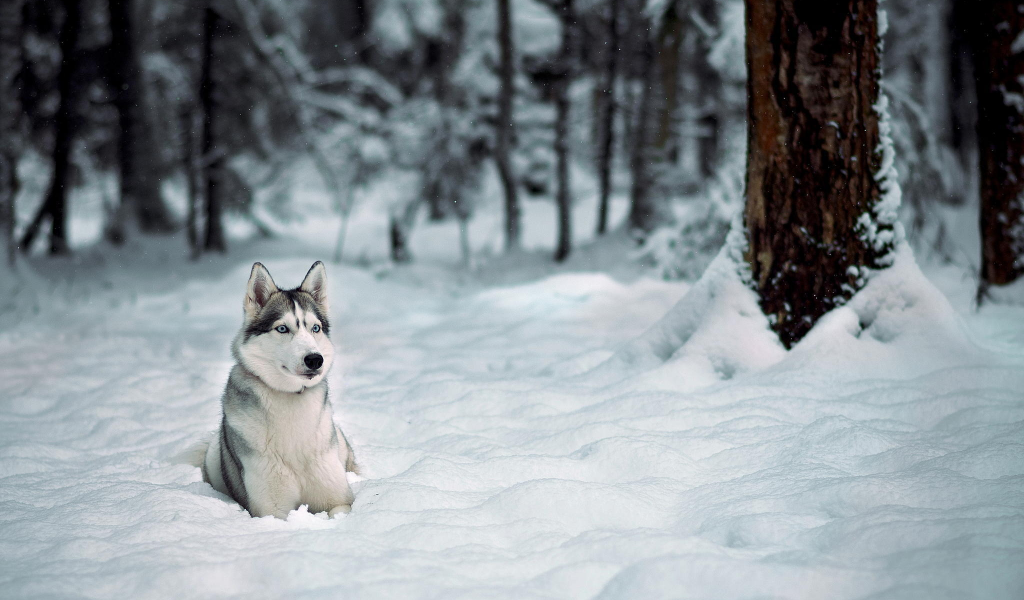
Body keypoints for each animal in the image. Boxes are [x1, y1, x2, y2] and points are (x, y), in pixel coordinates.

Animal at [201, 259, 358, 516]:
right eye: (282, 328)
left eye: (315, 328)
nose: (314, 359)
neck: (291, 398)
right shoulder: (271, 511)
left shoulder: (339, 501)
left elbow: (339, 507)